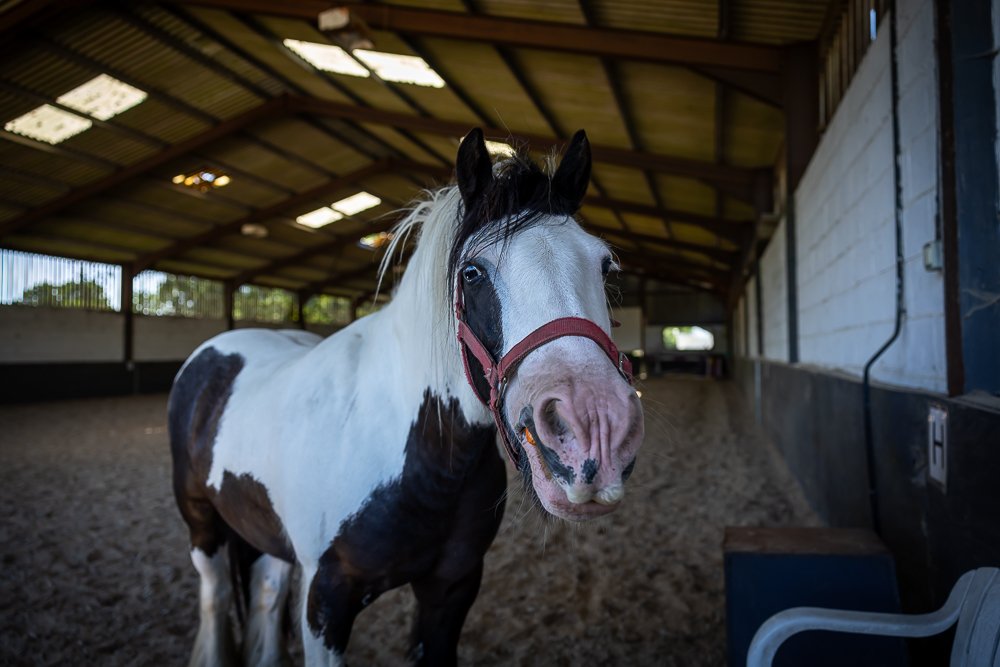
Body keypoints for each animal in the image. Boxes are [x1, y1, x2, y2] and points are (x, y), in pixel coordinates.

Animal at [167, 128, 645, 666]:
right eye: (473, 272)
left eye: (605, 266)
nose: (594, 429)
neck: (424, 456)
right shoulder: (325, 600)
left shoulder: (452, 588)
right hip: (202, 525)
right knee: (215, 598)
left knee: (266, 595)